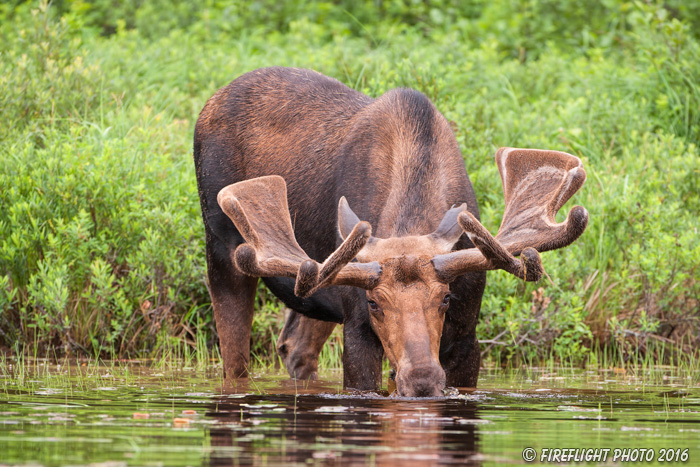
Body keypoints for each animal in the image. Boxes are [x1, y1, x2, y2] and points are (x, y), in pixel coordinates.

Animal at [191, 66, 584, 396]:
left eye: (446, 297)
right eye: (375, 303)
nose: (422, 379)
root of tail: (210, 102)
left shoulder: (467, 335)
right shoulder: (357, 328)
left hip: (320, 278)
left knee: (295, 345)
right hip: (223, 245)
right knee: (236, 362)